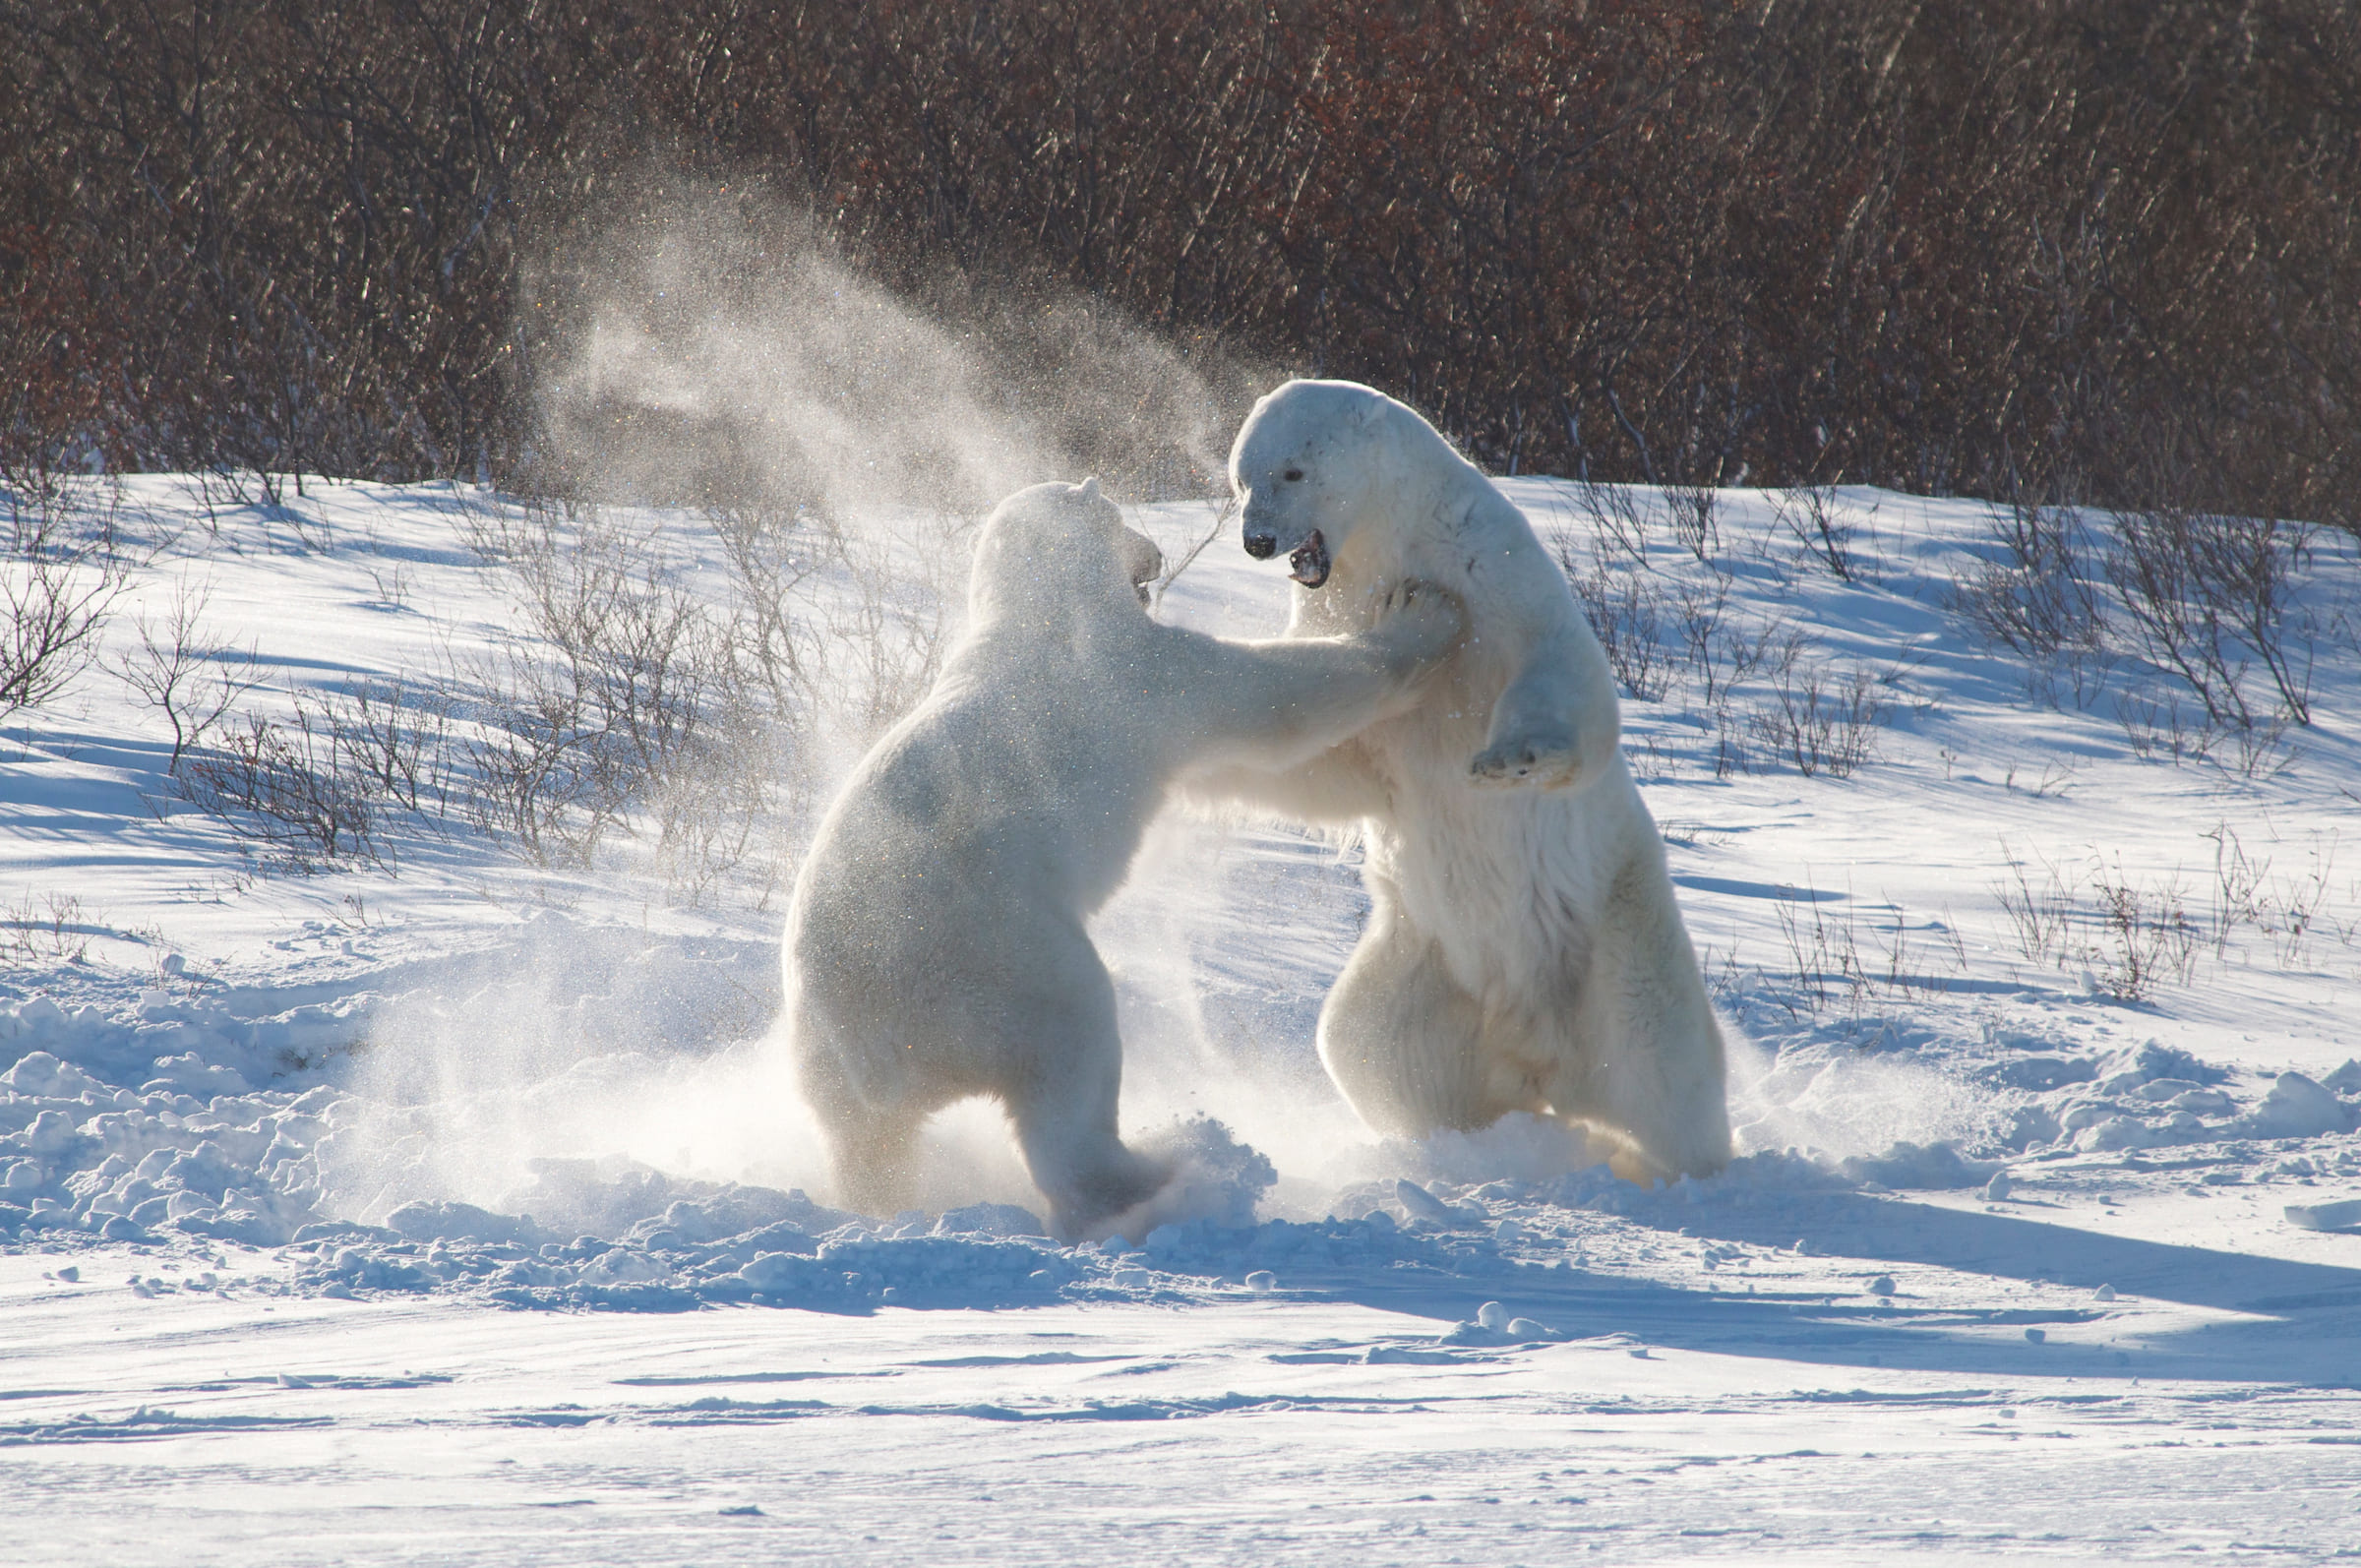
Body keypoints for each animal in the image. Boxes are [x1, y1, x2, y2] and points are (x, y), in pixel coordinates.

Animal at [784, 477, 1464, 1239]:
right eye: (1118, 514)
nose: (1156, 551)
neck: (1041, 613)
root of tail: (872, 1044)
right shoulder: (1139, 672)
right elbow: (1269, 698)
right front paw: (1425, 615)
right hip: (992, 963)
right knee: (1071, 1056)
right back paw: (1165, 1168)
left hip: (822, 1050)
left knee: (867, 1142)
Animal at [1198, 378, 1732, 1183]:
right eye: (1241, 478)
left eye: (1292, 471)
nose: (1256, 540)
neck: (1391, 548)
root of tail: (1539, 1051)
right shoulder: (1339, 615)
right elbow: (1329, 761)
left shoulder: (1496, 575)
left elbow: (1563, 676)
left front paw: (1508, 760)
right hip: (1430, 964)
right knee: (1371, 1045)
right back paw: (1463, 1138)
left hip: (1615, 934)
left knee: (1668, 1071)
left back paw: (1685, 1168)